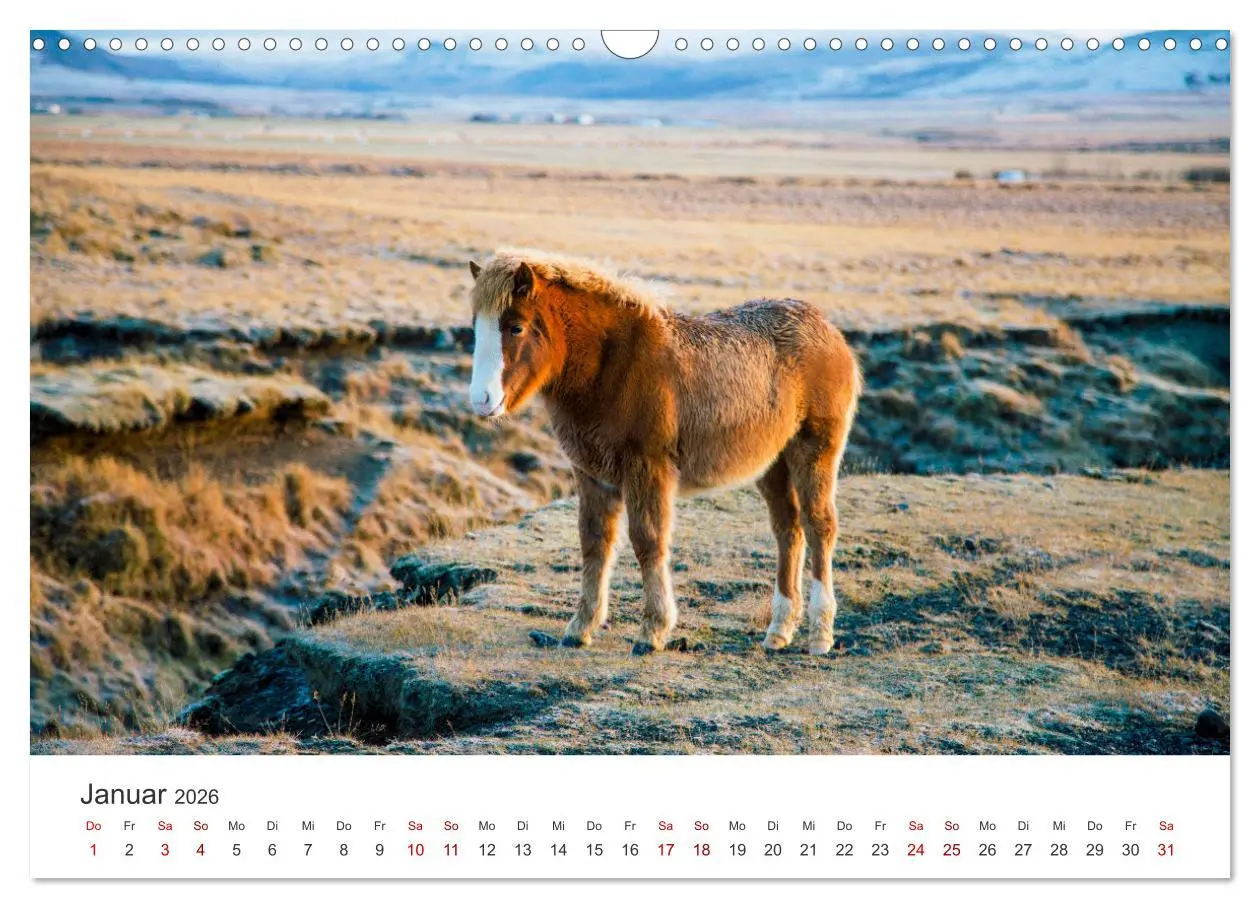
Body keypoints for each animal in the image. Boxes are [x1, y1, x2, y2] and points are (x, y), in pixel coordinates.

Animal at [467, 250, 862, 656]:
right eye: (476, 327)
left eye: (515, 327)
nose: (481, 400)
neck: (609, 364)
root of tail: (829, 330)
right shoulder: (591, 474)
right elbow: (594, 544)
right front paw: (580, 627)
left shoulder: (647, 468)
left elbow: (648, 541)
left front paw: (653, 631)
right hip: (773, 464)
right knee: (788, 529)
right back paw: (779, 631)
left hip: (814, 452)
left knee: (818, 525)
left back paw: (820, 634)